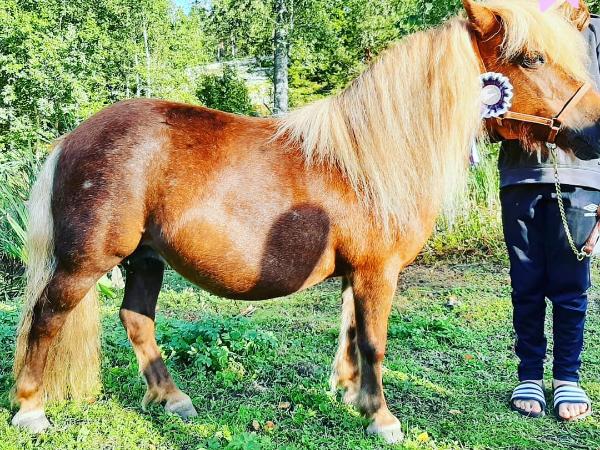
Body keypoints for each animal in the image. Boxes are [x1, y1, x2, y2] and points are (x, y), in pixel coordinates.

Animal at [11, 0, 600, 443]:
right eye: (531, 58)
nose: (593, 132)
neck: (374, 156)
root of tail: (72, 137)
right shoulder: (377, 272)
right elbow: (374, 342)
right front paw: (383, 418)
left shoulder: (357, 274)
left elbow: (352, 334)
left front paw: (351, 397)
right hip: (87, 261)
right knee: (46, 316)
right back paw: (30, 410)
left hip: (146, 258)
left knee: (136, 319)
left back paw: (172, 398)